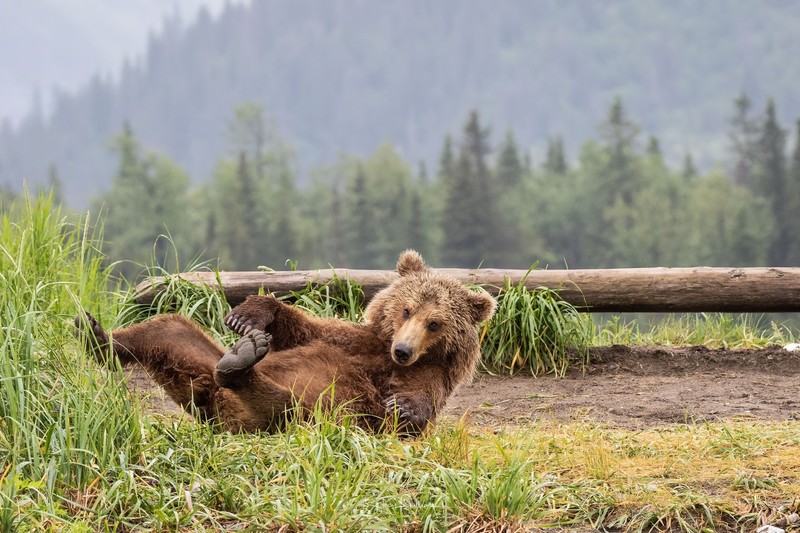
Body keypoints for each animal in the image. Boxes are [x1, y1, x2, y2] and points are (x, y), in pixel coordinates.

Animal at [75, 250, 496, 434]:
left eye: (435, 323)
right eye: (407, 310)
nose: (403, 350)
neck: (383, 354)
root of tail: (213, 404)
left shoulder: (425, 375)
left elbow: (409, 409)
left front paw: (405, 408)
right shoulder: (354, 340)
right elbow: (305, 330)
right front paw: (248, 316)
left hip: (312, 413)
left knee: (286, 406)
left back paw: (240, 368)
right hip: (195, 362)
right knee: (168, 329)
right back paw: (96, 335)